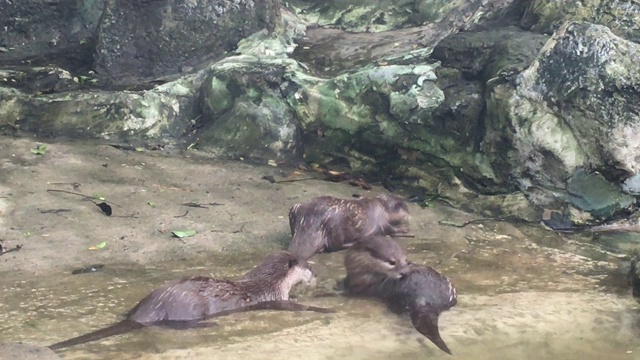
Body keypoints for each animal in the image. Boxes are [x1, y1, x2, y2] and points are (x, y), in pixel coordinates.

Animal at [50, 250, 336, 348]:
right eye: (308, 266)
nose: (316, 273)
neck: (270, 281)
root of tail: (149, 308)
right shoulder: (274, 297)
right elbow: (297, 306)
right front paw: (327, 309)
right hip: (193, 306)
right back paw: (210, 324)